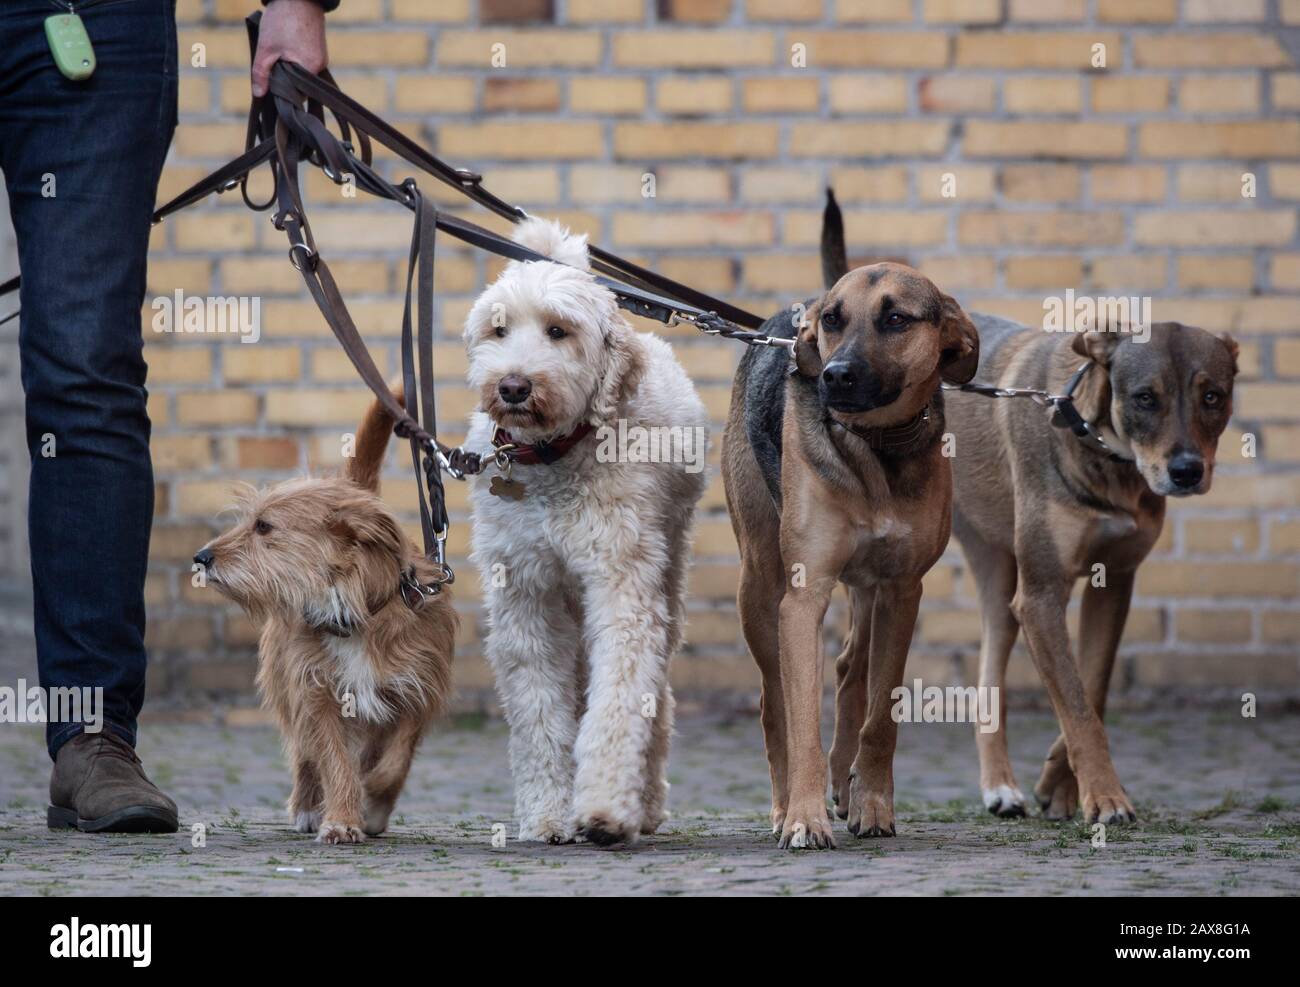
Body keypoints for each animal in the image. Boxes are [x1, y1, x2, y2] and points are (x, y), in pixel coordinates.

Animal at [189, 390, 457, 847]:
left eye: (264, 526)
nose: (202, 557)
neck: (353, 613)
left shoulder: (418, 691)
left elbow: (394, 760)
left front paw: (373, 798)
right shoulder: (317, 694)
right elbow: (335, 762)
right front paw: (342, 819)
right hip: (288, 688)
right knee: (304, 752)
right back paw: (308, 806)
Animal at [465, 219, 712, 847]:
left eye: (559, 330)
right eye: (498, 330)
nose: (513, 386)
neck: (554, 454)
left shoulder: (623, 582)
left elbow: (622, 696)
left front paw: (603, 809)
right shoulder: (524, 595)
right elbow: (538, 712)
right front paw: (548, 815)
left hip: (669, 562)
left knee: (658, 693)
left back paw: (644, 803)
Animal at [722, 191, 977, 847]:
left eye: (897, 320)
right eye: (834, 321)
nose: (834, 375)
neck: (874, 451)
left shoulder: (902, 591)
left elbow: (880, 711)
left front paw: (874, 803)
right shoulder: (801, 597)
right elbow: (800, 718)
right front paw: (804, 816)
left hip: (866, 588)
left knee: (849, 669)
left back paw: (846, 777)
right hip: (759, 583)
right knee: (774, 703)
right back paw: (786, 802)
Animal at [946, 310, 1237, 827]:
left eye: (1213, 396)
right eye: (1144, 397)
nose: (1187, 471)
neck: (1099, 443)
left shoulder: (1115, 581)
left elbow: (1091, 689)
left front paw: (1060, 786)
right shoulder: (1040, 597)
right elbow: (1079, 708)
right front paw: (1104, 797)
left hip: (999, 581)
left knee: (988, 680)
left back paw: (1000, 788)